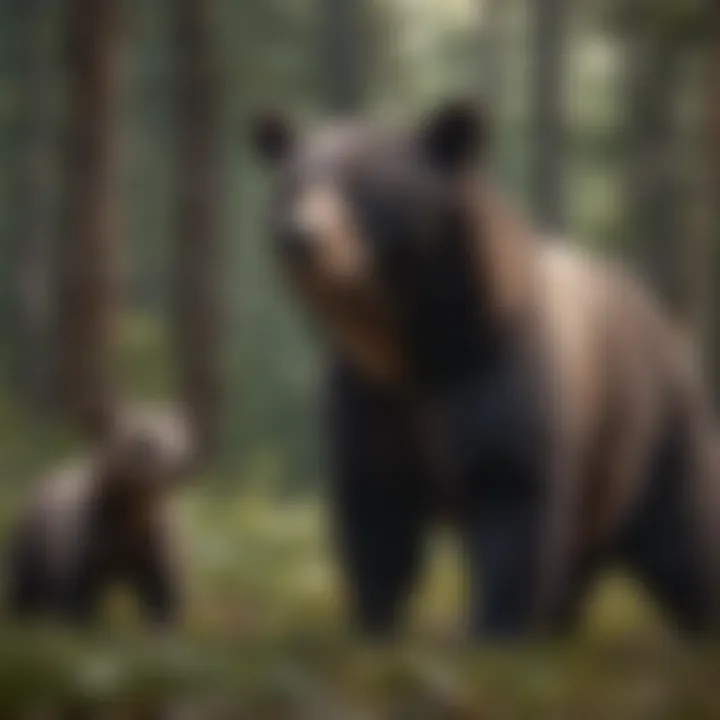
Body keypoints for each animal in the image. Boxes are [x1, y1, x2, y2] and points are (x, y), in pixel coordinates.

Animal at [252, 100, 720, 636]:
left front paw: (494, 625)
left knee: (683, 540)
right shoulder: (370, 396)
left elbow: (510, 491)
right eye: (292, 183)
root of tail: (665, 321)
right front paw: (377, 619)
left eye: (364, 184)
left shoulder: (499, 370)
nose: (302, 238)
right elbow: (375, 508)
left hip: (647, 431)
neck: (411, 345)